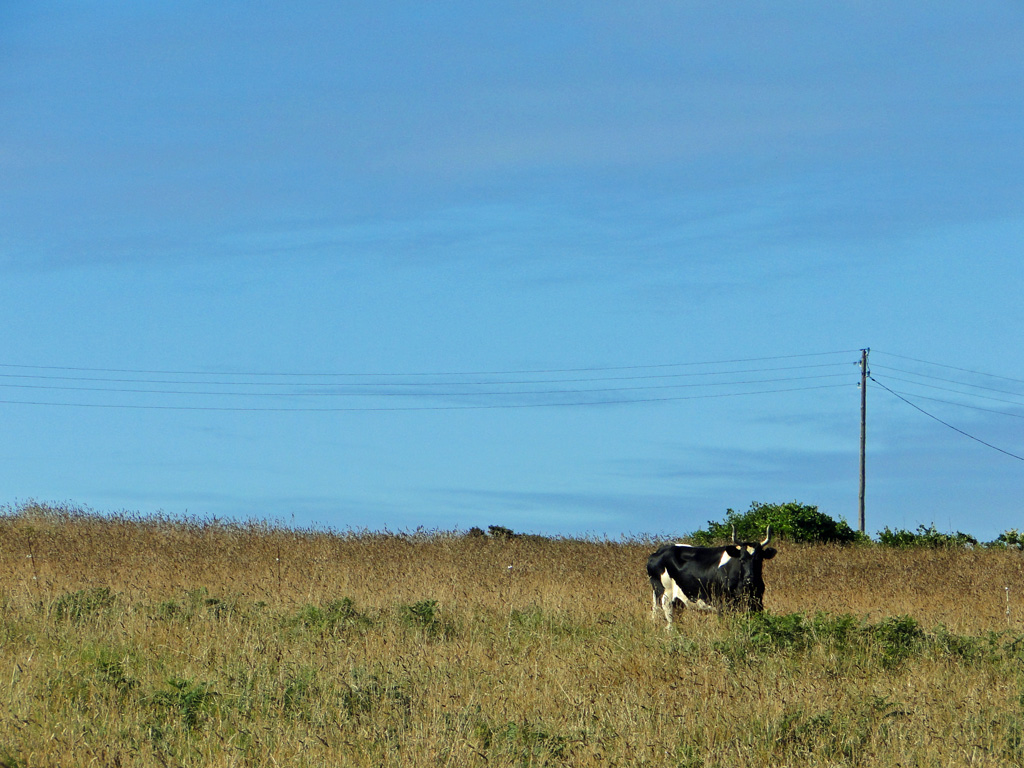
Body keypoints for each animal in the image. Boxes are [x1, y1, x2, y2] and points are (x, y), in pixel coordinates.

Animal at [643, 528, 778, 626]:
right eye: (742, 559)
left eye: (759, 559)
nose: (750, 579)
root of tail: (659, 551)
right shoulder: (723, 605)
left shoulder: (757, 603)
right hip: (665, 597)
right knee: (670, 626)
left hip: (677, 602)